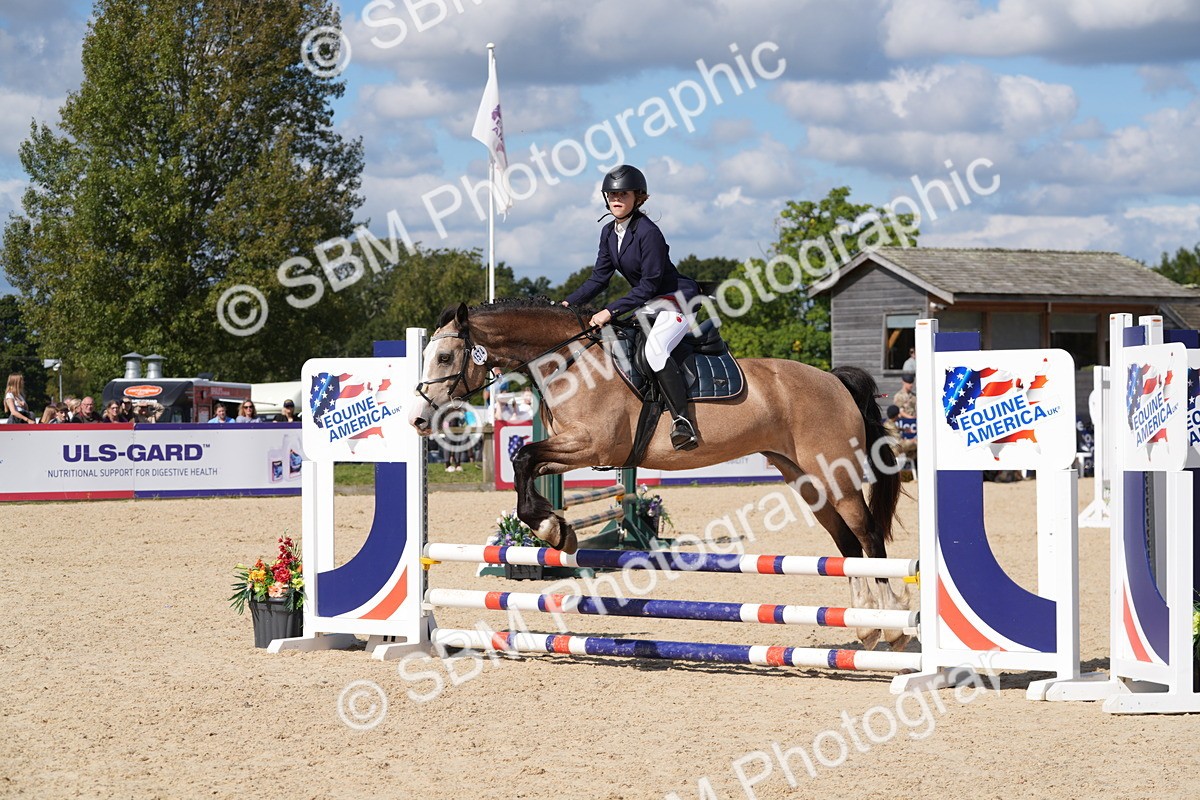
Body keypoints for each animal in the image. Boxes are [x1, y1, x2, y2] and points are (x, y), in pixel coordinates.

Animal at [408, 299, 909, 650]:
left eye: (446, 356)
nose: (417, 420)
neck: (570, 361)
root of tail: (834, 380)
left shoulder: (592, 443)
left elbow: (524, 459)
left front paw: (552, 529)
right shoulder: (573, 449)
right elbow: (525, 464)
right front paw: (555, 527)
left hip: (835, 476)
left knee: (867, 535)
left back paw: (893, 626)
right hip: (806, 479)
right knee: (845, 543)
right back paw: (865, 627)